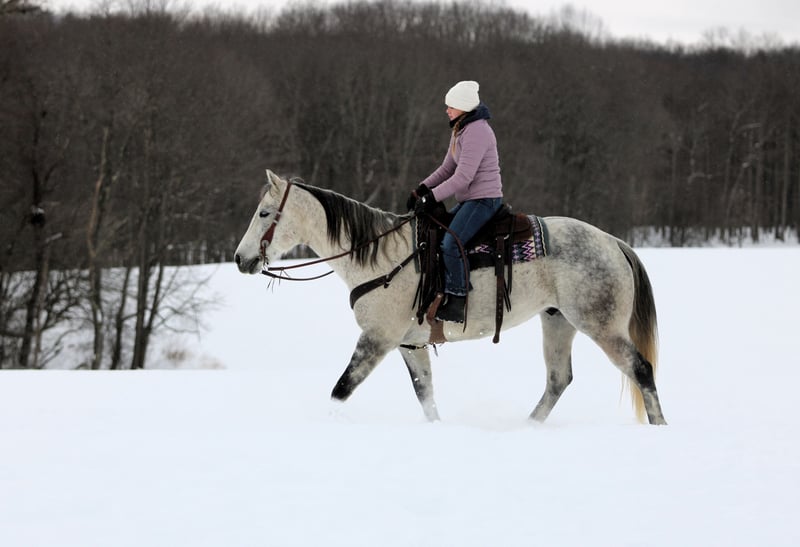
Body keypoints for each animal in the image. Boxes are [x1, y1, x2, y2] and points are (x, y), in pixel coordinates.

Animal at [234, 170, 667, 425]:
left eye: (264, 213)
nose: (241, 259)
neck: (380, 256)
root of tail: (612, 242)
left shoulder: (377, 339)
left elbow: (341, 390)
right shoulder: (409, 344)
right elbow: (425, 395)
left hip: (600, 324)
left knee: (641, 370)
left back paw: (658, 426)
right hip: (557, 320)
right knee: (559, 379)